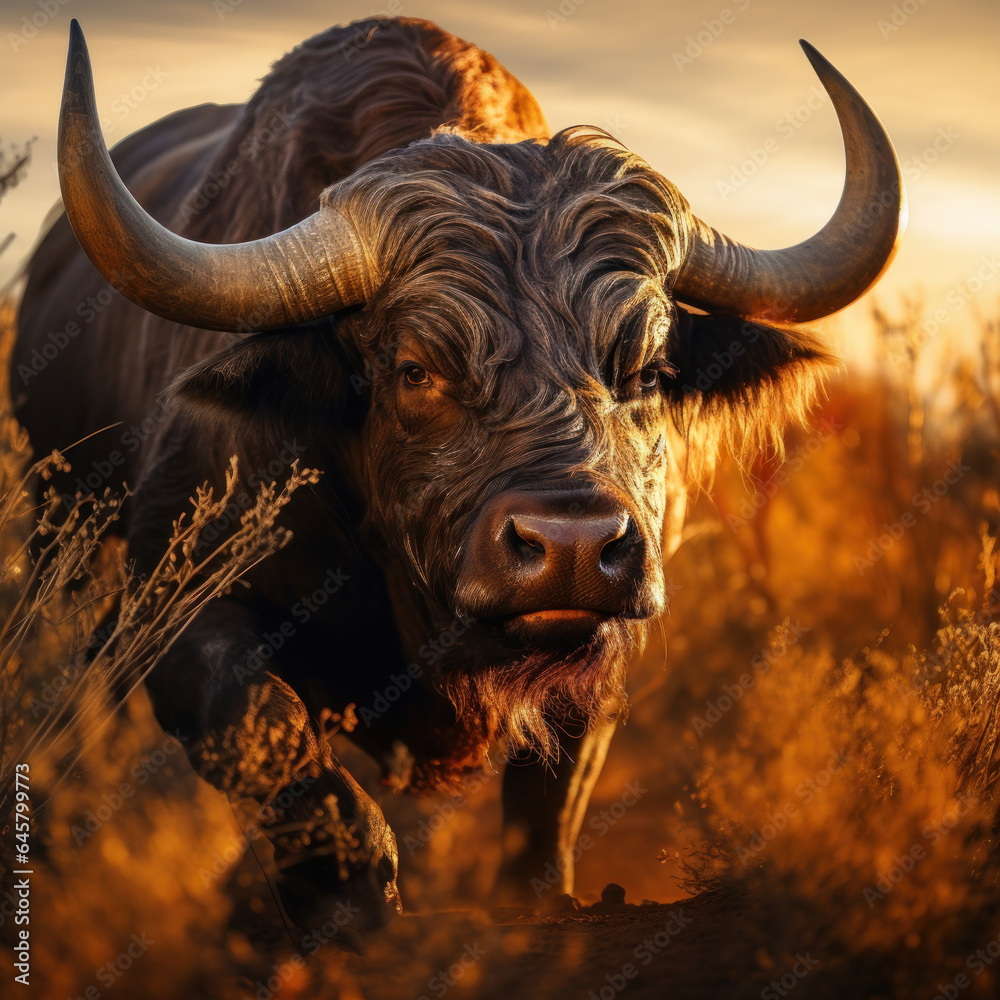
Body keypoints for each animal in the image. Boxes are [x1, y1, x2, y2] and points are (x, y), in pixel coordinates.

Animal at [11, 16, 904, 935]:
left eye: (649, 370)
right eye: (416, 369)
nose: (572, 547)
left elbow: (551, 794)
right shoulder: (172, 604)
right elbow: (271, 737)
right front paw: (356, 903)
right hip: (58, 546)